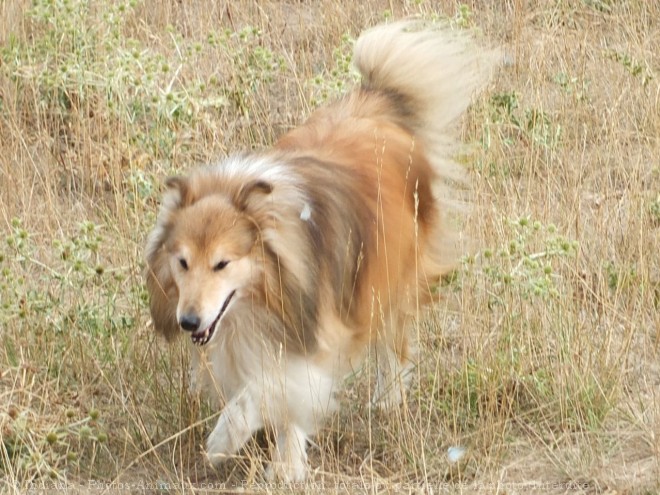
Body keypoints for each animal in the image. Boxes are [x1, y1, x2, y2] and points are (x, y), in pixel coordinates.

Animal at [144, 21, 496, 482]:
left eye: (222, 263)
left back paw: (388, 399)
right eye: (182, 262)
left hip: (390, 280)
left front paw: (234, 445)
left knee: (393, 343)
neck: (263, 293)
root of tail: (375, 101)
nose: (187, 321)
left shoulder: (316, 332)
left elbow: (273, 389)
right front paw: (279, 461)